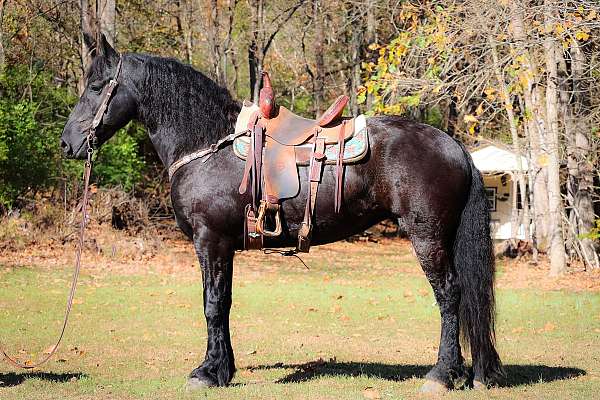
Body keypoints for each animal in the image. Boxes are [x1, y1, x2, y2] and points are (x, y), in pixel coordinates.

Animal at [59, 34, 502, 390]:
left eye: (96, 86)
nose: (68, 144)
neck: (207, 145)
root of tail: (454, 145)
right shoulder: (224, 246)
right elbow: (224, 301)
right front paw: (223, 369)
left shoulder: (210, 241)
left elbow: (212, 303)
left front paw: (207, 373)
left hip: (427, 236)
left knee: (449, 295)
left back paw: (442, 375)